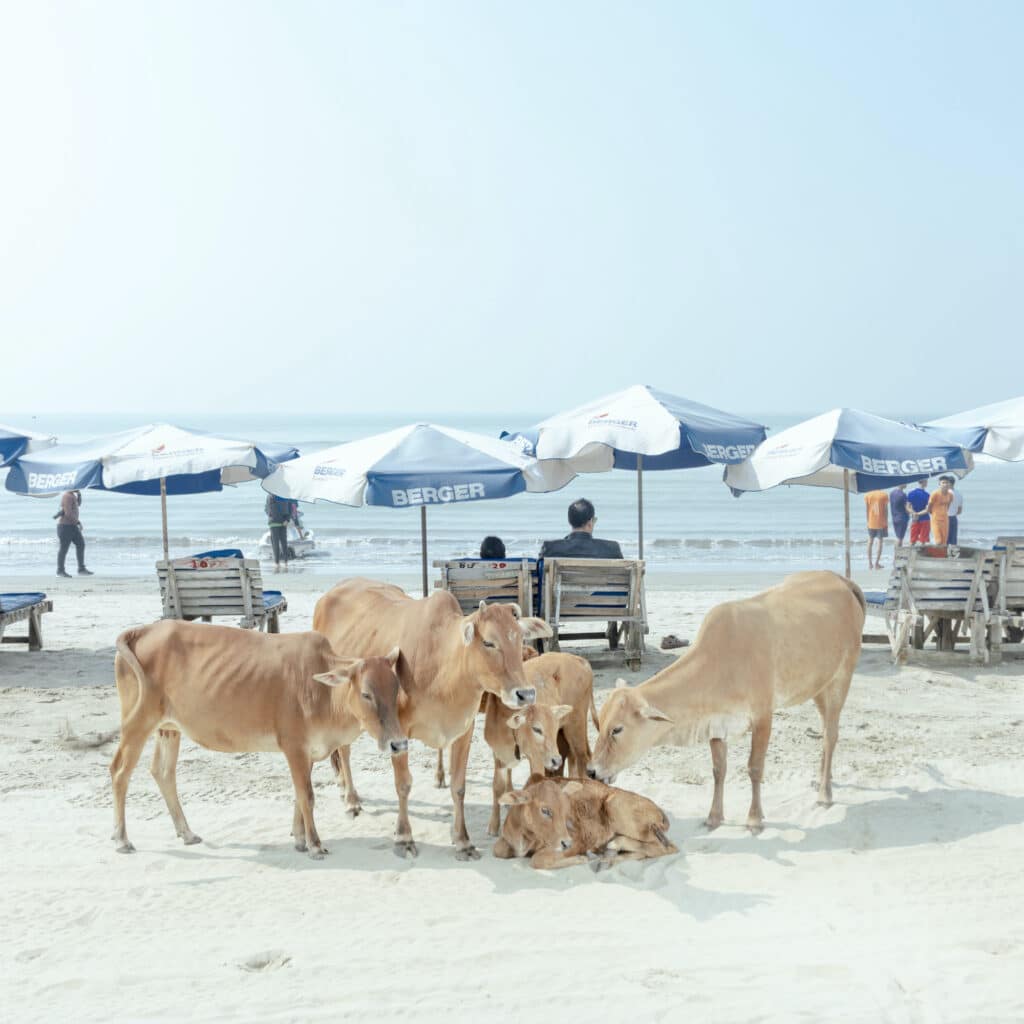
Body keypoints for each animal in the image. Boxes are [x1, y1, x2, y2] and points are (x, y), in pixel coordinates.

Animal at [108, 618, 403, 860]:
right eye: (366, 694)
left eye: (396, 687)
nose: (398, 744)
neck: (323, 692)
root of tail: (142, 630)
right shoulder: (294, 746)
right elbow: (306, 796)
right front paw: (315, 845)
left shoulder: (306, 752)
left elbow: (299, 795)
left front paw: (299, 838)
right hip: (138, 722)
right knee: (120, 772)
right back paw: (121, 839)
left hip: (169, 728)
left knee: (163, 772)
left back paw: (187, 832)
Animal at [313, 581, 552, 860]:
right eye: (489, 642)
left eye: (520, 638)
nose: (526, 694)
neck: (443, 669)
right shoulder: (399, 733)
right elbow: (403, 785)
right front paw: (404, 838)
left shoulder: (464, 730)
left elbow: (459, 786)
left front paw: (463, 841)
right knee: (344, 750)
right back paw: (351, 799)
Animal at [491, 778, 675, 868]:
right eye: (545, 810)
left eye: (566, 809)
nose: (566, 843)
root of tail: (657, 808)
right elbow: (498, 849)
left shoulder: (577, 840)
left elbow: (538, 859)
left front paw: (580, 859)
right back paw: (608, 857)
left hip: (616, 806)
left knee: (667, 847)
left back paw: (612, 846)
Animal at [585, 573, 864, 835]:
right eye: (599, 726)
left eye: (617, 729)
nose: (591, 772)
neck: (720, 662)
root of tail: (842, 580)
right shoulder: (716, 724)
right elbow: (719, 770)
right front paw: (714, 817)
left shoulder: (763, 716)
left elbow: (754, 768)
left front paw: (754, 820)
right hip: (820, 685)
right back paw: (822, 780)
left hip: (842, 678)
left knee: (830, 735)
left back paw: (825, 793)